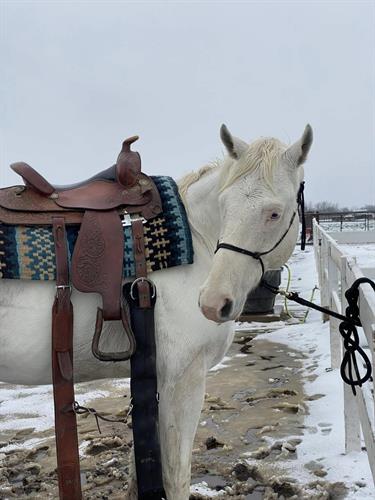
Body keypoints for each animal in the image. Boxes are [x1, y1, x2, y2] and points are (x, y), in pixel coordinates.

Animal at [0, 124, 312, 496]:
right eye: (224, 204)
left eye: (274, 212)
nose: (213, 302)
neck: (198, 239)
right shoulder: (183, 379)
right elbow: (176, 477)